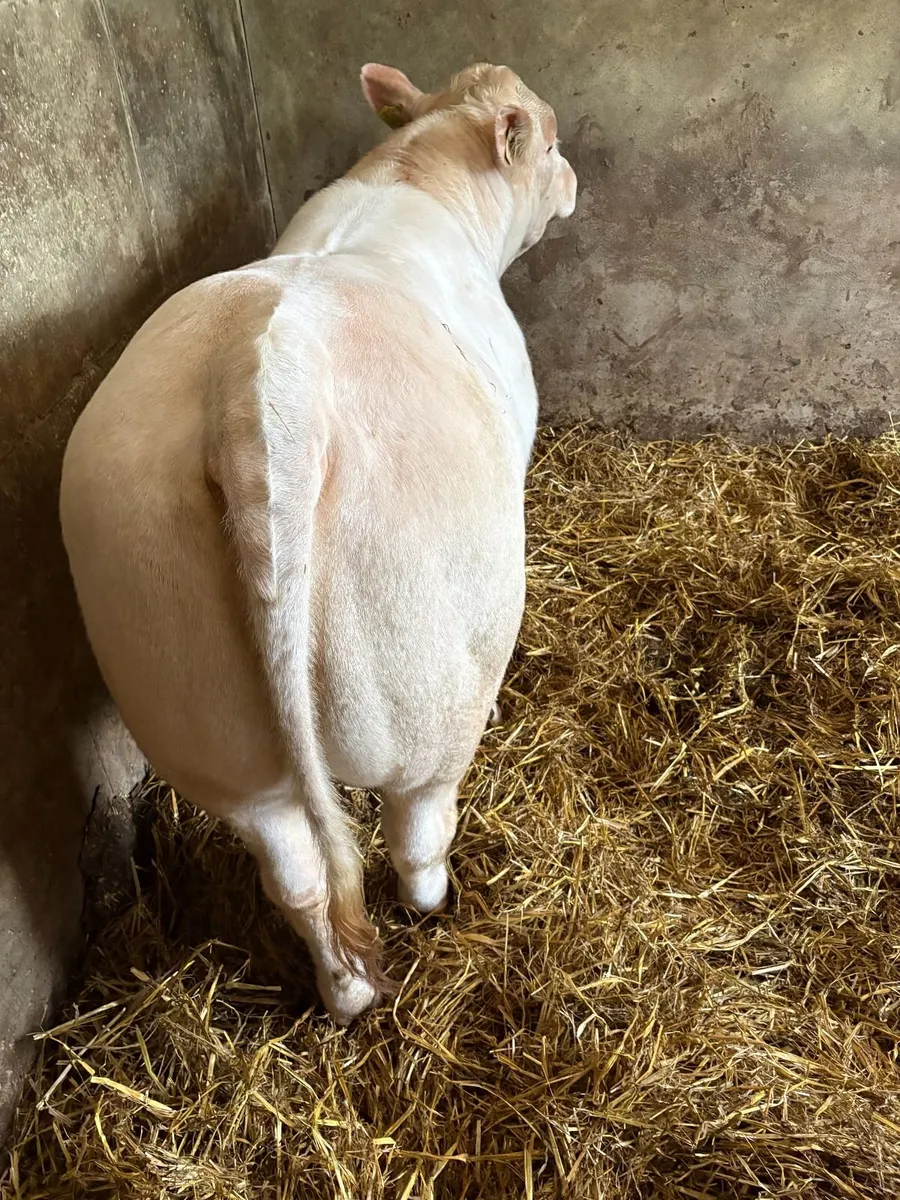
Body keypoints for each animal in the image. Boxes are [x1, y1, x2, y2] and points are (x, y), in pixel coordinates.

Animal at [60, 62, 577, 1024]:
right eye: (552, 141)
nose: (572, 182)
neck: (413, 177)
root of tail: (260, 382)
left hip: (197, 716)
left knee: (297, 875)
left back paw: (348, 994)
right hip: (423, 696)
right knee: (416, 827)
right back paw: (430, 908)